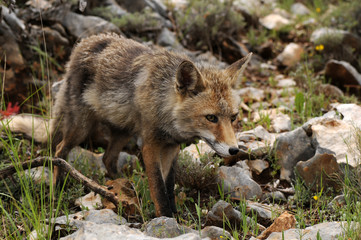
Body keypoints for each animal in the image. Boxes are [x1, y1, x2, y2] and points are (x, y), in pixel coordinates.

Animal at [4, 33, 250, 218]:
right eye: (211, 118)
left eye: (233, 117)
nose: (234, 150)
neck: (164, 106)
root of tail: (83, 43)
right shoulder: (150, 144)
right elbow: (159, 189)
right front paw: (165, 219)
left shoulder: (172, 147)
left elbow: (169, 187)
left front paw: (174, 215)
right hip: (81, 127)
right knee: (59, 151)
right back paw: (57, 190)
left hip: (122, 131)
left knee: (107, 158)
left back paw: (122, 187)